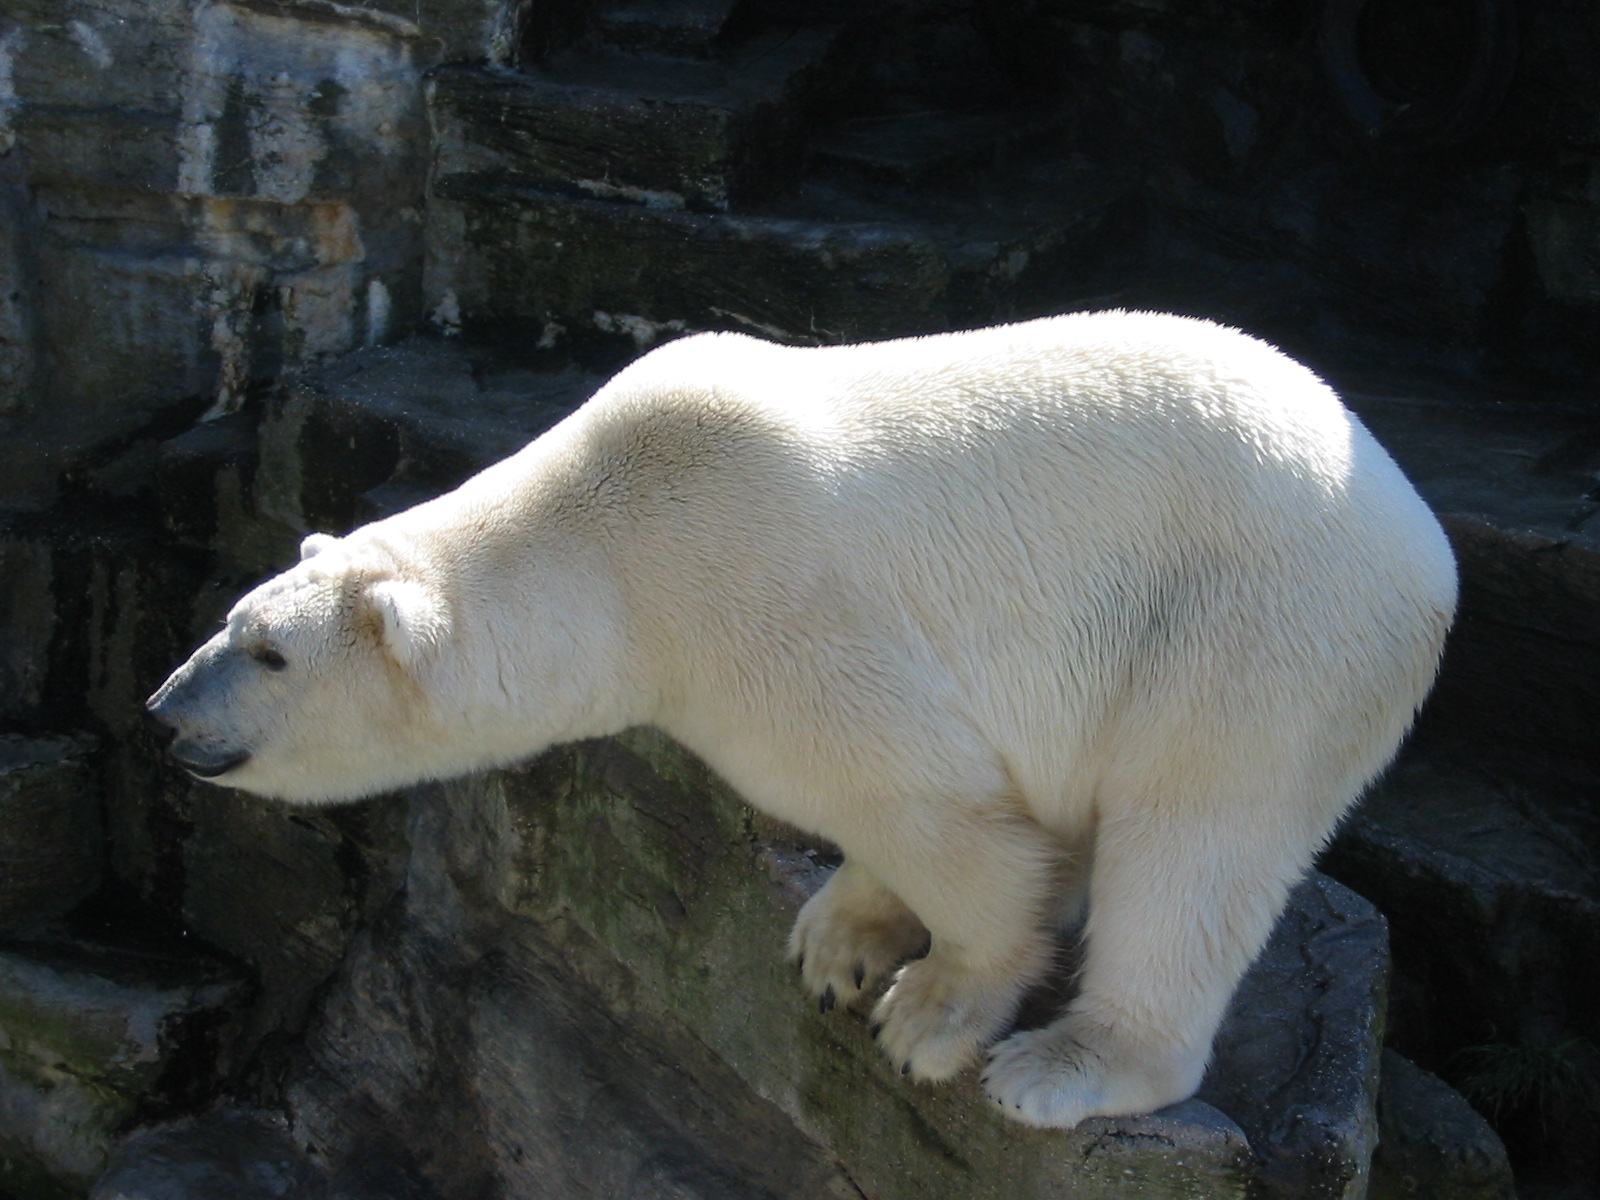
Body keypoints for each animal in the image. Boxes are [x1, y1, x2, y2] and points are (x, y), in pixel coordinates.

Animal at [146, 311, 1457, 1128]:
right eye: (237, 618)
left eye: (266, 652)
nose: (163, 713)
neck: (610, 546)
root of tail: (1423, 544)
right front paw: (839, 942)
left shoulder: (761, 604)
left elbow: (937, 814)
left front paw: (930, 1008)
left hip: (1254, 629)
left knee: (1195, 841)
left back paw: (1066, 1065)